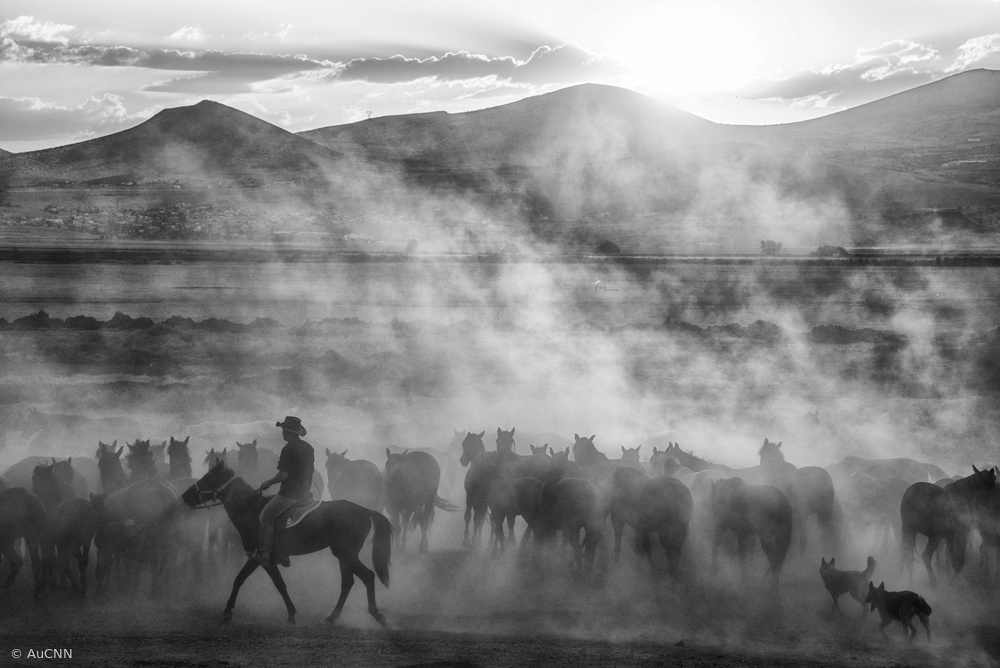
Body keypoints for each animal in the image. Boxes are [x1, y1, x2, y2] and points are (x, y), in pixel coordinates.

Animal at [182, 460, 392, 628]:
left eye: (208, 478)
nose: (185, 496)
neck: (251, 509)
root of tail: (365, 510)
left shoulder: (261, 557)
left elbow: (270, 583)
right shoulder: (260, 559)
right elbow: (249, 580)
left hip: (346, 554)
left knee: (367, 576)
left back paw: (375, 615)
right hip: (343, 555)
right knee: (351, 581)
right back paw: (333, 617)